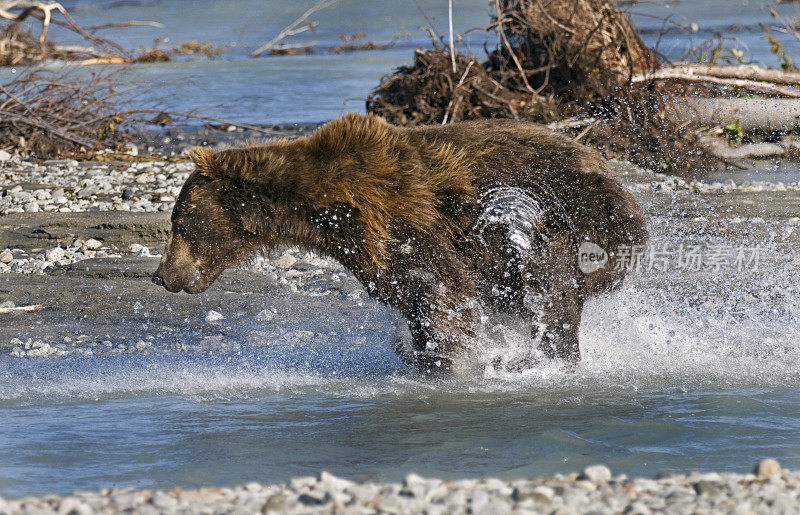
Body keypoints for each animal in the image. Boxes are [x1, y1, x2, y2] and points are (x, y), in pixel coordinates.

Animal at [152, 114, 648, 370]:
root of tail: (606, 169)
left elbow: (437, 288)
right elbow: (409, 294)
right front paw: (420, 351)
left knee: (551, 290)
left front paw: (443, 358)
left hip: (552, 218)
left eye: (179, 223)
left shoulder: (395, 216)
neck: (319, 208)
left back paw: (542, 359)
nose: (160, 275)